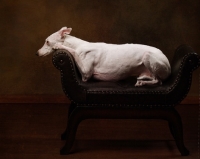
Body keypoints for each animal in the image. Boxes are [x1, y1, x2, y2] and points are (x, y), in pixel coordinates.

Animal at [37, 26, 170, 86]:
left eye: (47, 41)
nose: (36, 53)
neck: (79, 45)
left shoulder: (86, 74)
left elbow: (73, 52)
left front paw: (58, 46)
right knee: (155, 79)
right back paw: (142, 79)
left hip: (148, 56)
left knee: (159, 81)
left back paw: (143, 82)